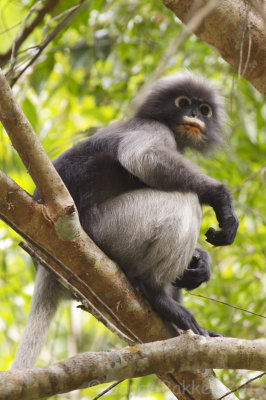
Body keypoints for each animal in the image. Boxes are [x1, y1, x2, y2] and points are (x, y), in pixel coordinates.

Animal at [11, 72, 239, 368]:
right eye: (184, 102)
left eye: (204, 109)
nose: (193, 115)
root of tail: (44, 262)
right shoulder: (153, 128)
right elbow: (143, 159)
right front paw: (222, 201)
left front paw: (201, 261)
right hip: (111, 229)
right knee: (185, 200)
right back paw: (157, 295)